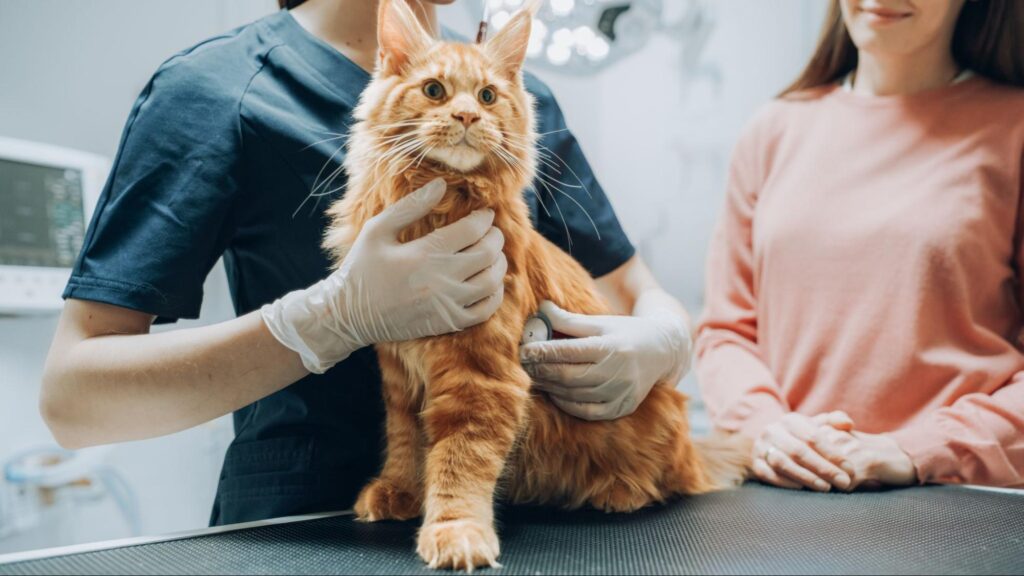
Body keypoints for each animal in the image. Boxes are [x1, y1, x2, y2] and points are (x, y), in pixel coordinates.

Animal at [323, 0, 749, 565]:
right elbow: (406, 441)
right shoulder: (399, 373)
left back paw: (619, 492)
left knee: (667, 481)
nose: (466, 116)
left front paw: (456, 530)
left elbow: (459, 460)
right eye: (434, 90)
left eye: (487, 96)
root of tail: (695, 451)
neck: (439, 208)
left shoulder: (481, 374)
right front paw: (401, 491)